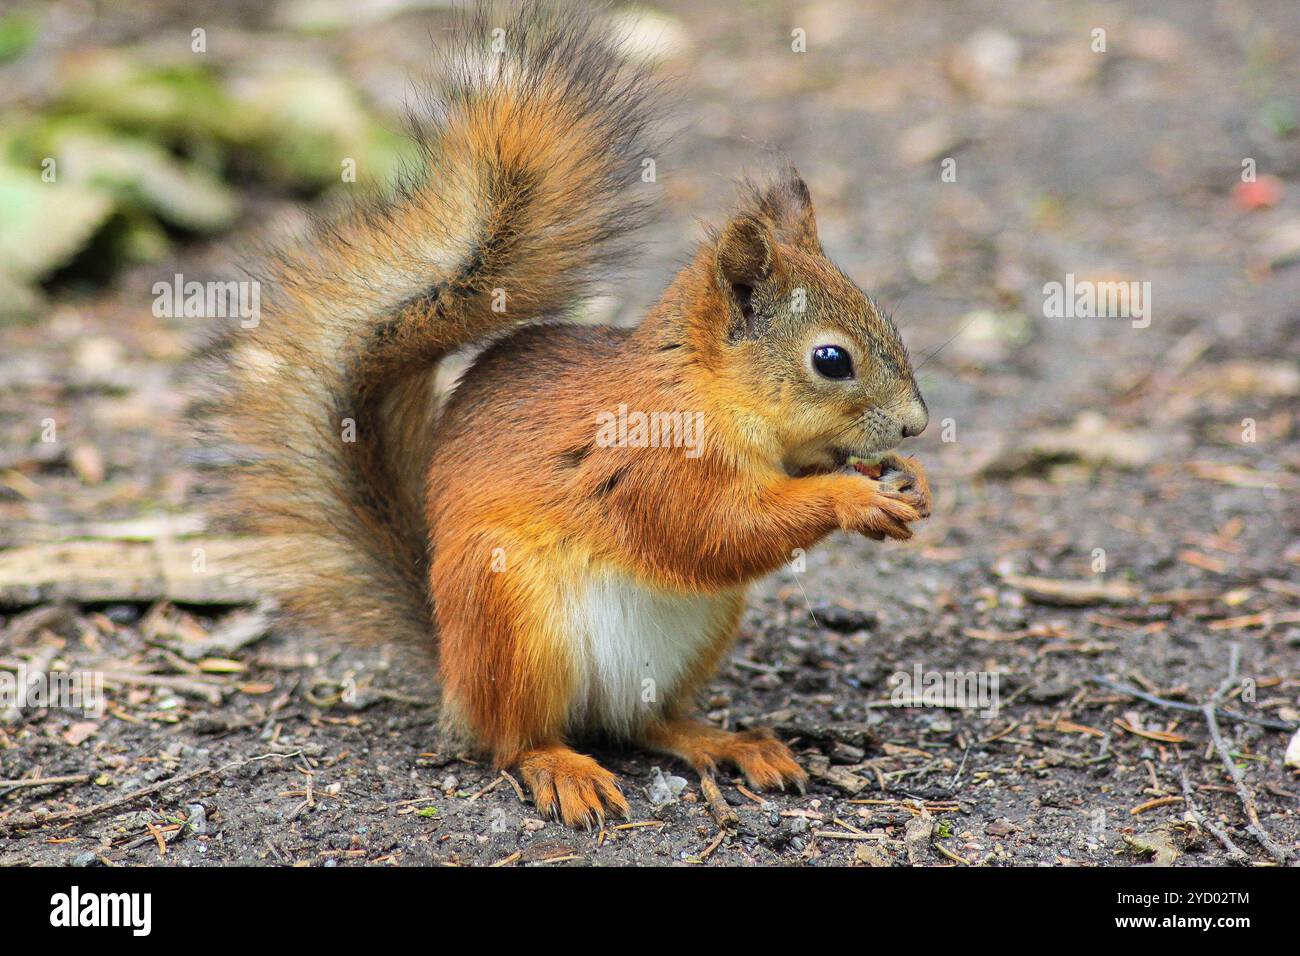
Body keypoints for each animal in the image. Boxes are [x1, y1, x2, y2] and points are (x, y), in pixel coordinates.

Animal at [218, 3, 930, 832]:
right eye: (831, 360)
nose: (916, 425)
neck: (703, 394)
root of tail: (452, 667)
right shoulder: (649, 465)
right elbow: (716, 532)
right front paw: (854, 497)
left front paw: (905, 483)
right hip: (514, 620)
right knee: (513, 740)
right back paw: (562, 769)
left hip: (692, 639)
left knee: (646, 722)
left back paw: (728, 743)